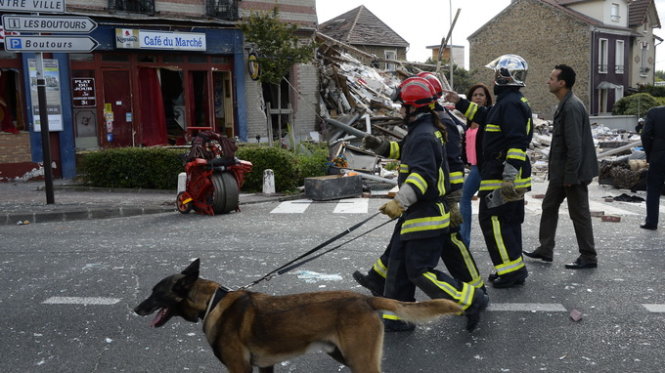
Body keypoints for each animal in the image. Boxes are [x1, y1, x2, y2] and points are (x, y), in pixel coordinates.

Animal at [133, 258, 460, 372]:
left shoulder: (240, 369)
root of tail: (365, 298)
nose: (136, 309)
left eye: (156, 292)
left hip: (359, 360)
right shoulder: (264, 367)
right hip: (346, 356)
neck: (212, 301)